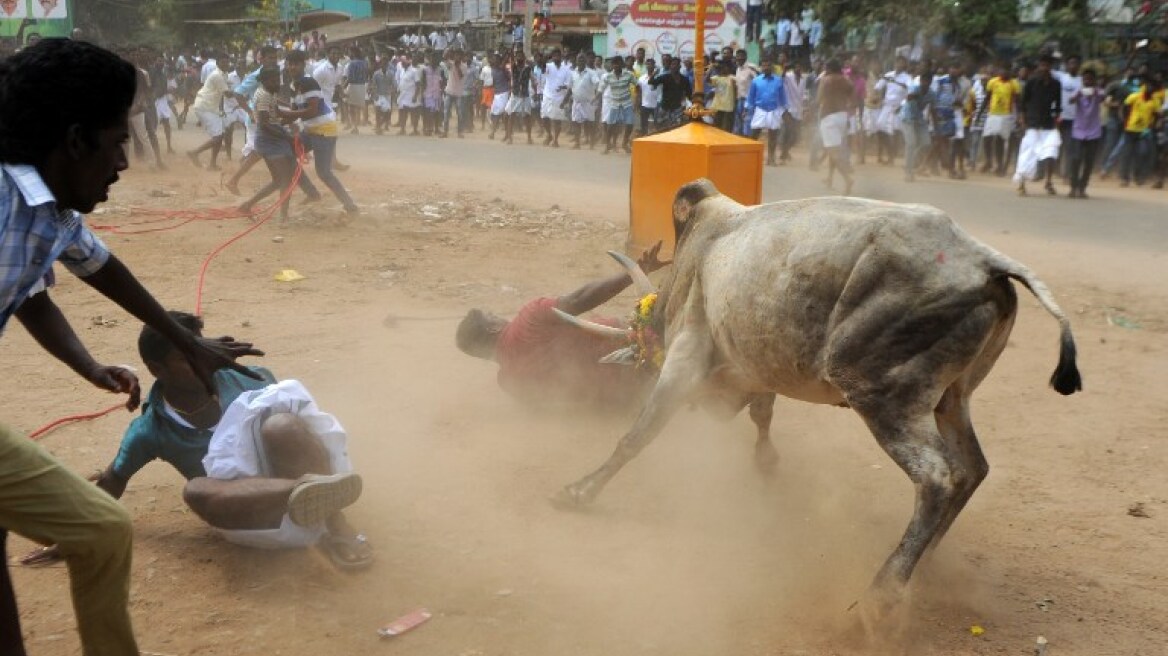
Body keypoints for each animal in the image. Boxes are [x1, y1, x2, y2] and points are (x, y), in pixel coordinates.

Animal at [551, 178, 1079, 611]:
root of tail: (984, 261)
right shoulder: (754, 371)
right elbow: (762, 416)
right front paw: (767, 466)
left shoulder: (686, 355)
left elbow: (637, 435)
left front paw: (579, 491)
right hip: (952, 398)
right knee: (972, 470)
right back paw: (922, 565)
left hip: (882, 394)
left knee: (936, 477)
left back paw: (880, 596)